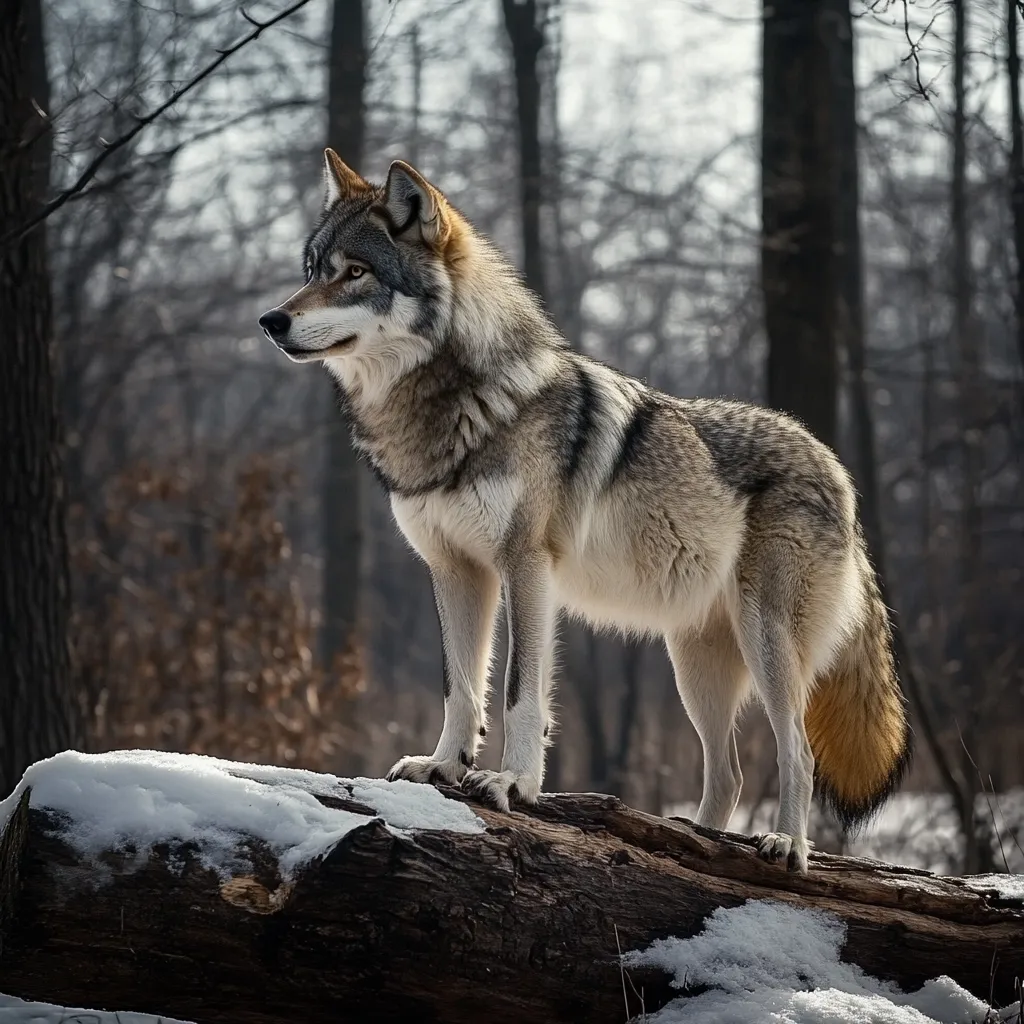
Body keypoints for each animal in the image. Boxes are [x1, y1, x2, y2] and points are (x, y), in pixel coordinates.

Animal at [259, 149, 911, 873]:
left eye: (355, 272)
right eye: (312, 270)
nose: (272, 320)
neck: (458, 407)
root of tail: (836, 468)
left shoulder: (525, 566)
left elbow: (520, 692)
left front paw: (512, 782)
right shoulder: (456, 571)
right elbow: (462, 686)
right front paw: (443, 767)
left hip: (764, 644)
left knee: (796, 751)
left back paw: (786, 846)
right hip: (696, 670)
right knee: (731, 774)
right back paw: (695, 847)